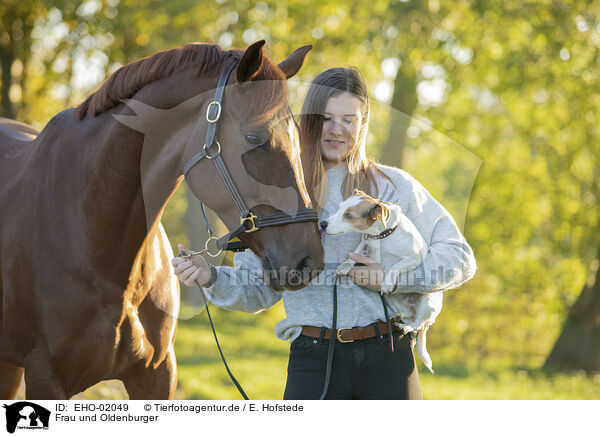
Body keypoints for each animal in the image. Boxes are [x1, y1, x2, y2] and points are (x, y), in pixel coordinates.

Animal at [324, 189, 446, 372]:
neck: (380, 236)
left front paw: (388, 281)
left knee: (417, 324)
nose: (322, 224)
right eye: (339, 208)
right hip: (393, 299)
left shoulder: (413, 258)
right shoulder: (364, 244)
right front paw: (345, 265)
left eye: (349, 216)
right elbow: (355, 253)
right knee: (410, 316)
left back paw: (406, 326)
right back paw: (399, 315)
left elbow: (395, 266)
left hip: (427, 303)